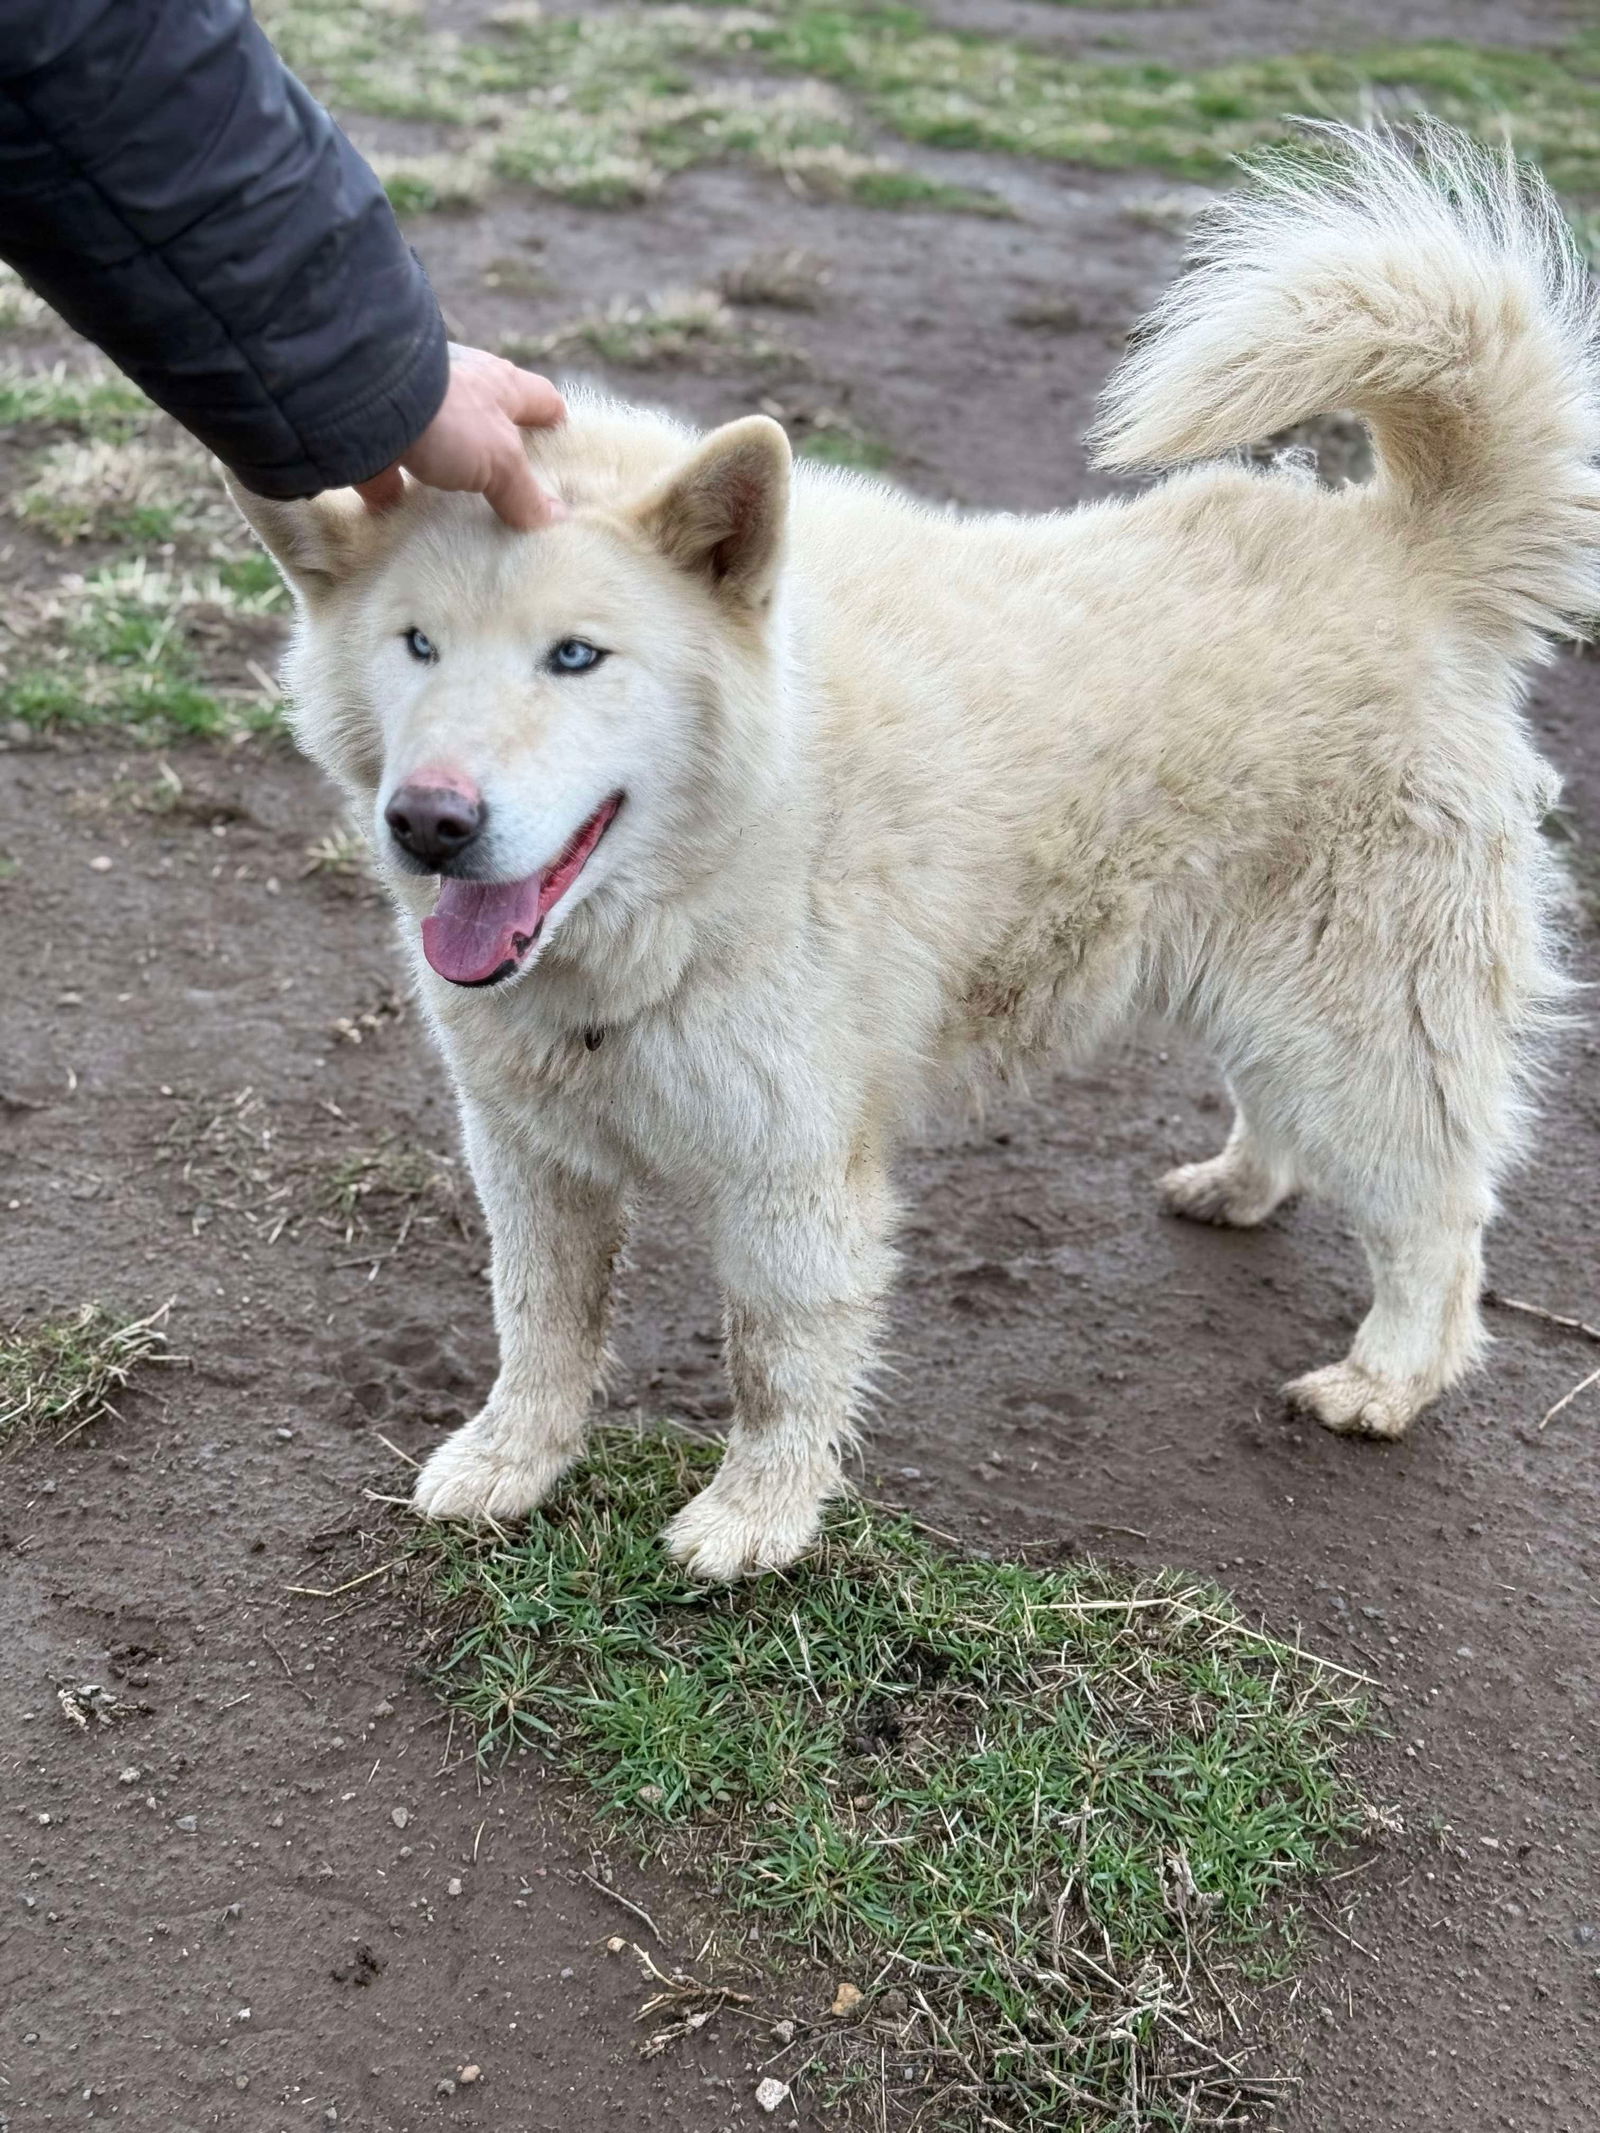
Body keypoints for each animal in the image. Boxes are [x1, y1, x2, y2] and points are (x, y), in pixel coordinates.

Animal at [234, 124, 1600, 1578]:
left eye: (577, 655)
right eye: (416, 644)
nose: (431, 822)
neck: (716, 867)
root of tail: (1403, 548)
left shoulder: (792, 1167)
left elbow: (775, 1360)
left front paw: (756, 1520)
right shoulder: (529, 1150)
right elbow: (538, 1324)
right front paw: (511, 1463)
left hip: (1372, 1019)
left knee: (1440, 1219)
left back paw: (1389, 1377)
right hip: (1261, 988)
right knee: (1294, 1118)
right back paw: (1240, 1185)